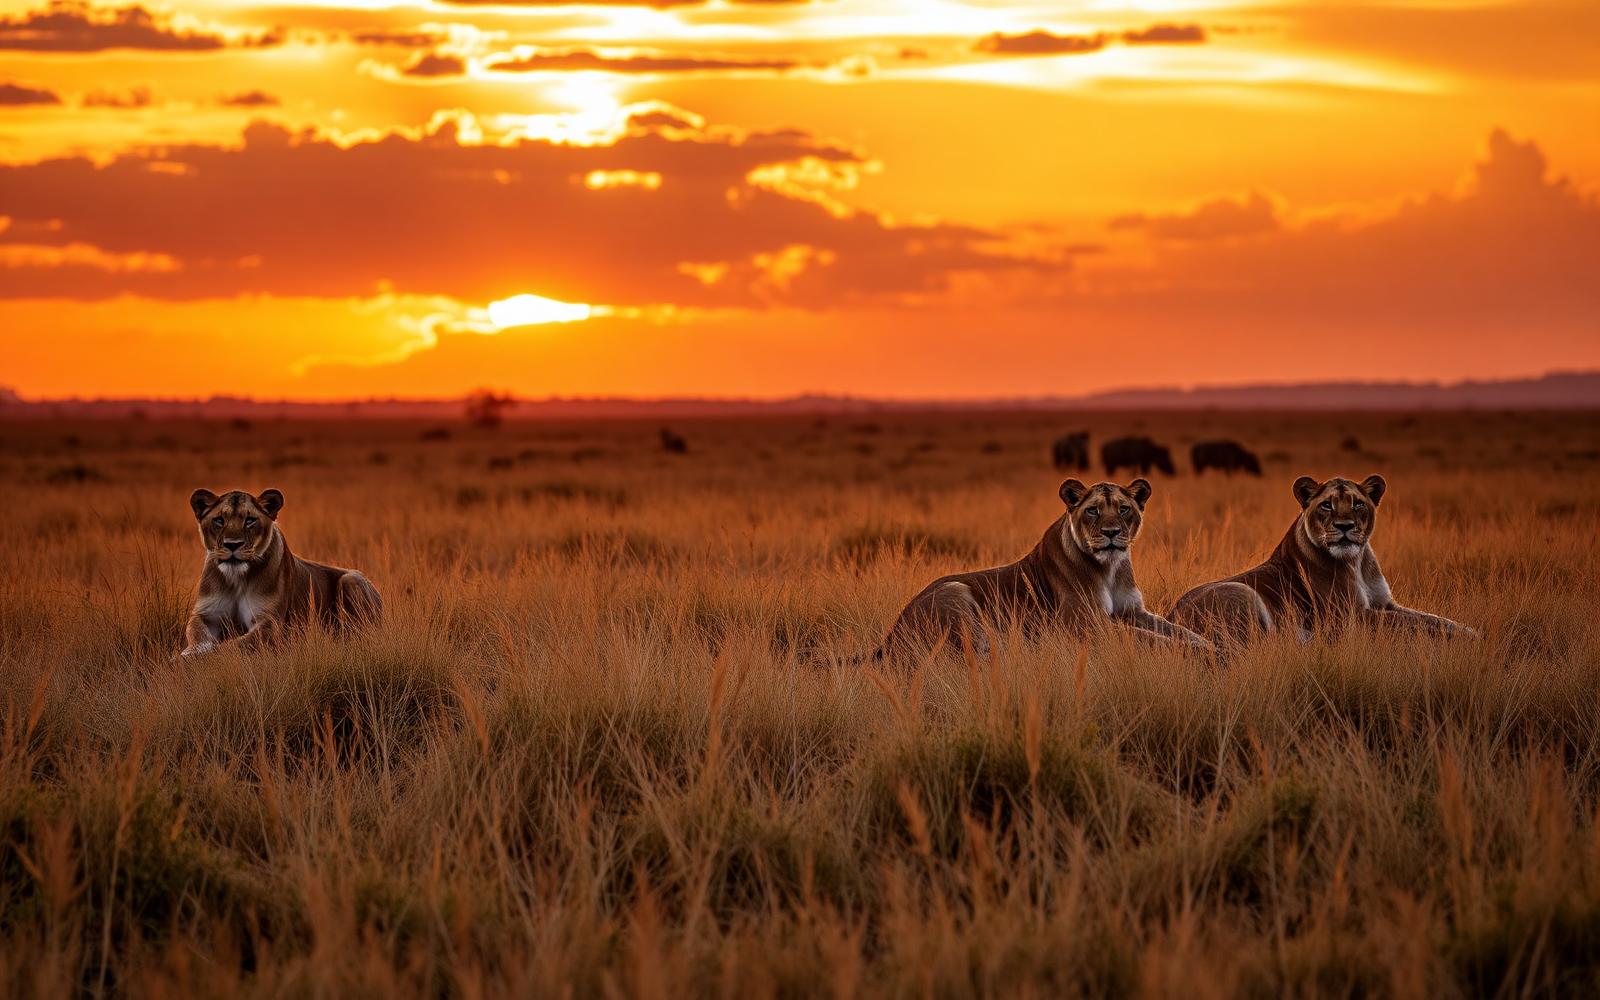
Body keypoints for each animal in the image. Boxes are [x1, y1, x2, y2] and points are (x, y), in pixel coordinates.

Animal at [179, 488, 382, 659]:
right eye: (219, 520)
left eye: (250, 520)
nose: (232, 545)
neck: (236, 578)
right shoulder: (205, 614)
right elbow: (198, 635)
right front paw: (189, 653)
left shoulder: (269, 622)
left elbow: (233, 645)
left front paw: (195, 659)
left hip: (351, 579)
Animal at [874, 478, 1212, 660]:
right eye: (1092, 510)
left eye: (1124, 508)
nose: (1112, 532)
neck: (1111, 568)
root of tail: (889, 636)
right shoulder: (1085, 625)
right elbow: (1148, 638)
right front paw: (1203, 653)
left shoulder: (1133, 611)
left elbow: (1173, 629)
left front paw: (1207, 643)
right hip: (955, 591)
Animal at [1168, 474, 1478, 646]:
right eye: (1326, 505)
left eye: (1357, 503)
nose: (1344, 526)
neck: (1357, 563)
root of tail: (1171, 615)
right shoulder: (1349, 618)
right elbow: (1412, 624)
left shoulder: (1385, 603)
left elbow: (1433, 618)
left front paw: (1472, 631)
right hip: (1242, 594)